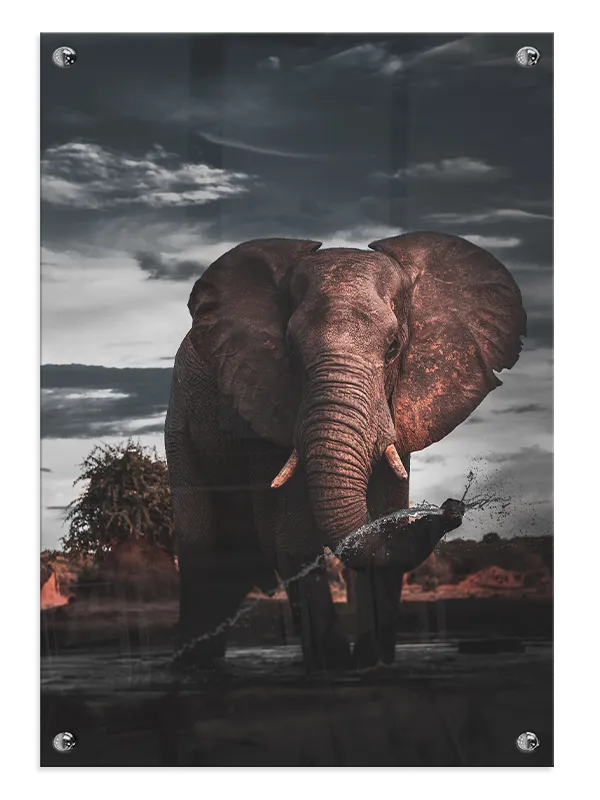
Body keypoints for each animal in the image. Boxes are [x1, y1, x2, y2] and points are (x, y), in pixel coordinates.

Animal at [165, 231, 526, 670]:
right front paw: (335, 666)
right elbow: (294, 539)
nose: (452, 508)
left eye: (394, 348)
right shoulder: (258, 409)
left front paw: (373, 663)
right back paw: (193, 669)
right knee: (205, 557)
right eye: (290, 348)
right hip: (181, 430)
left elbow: (384, 519)